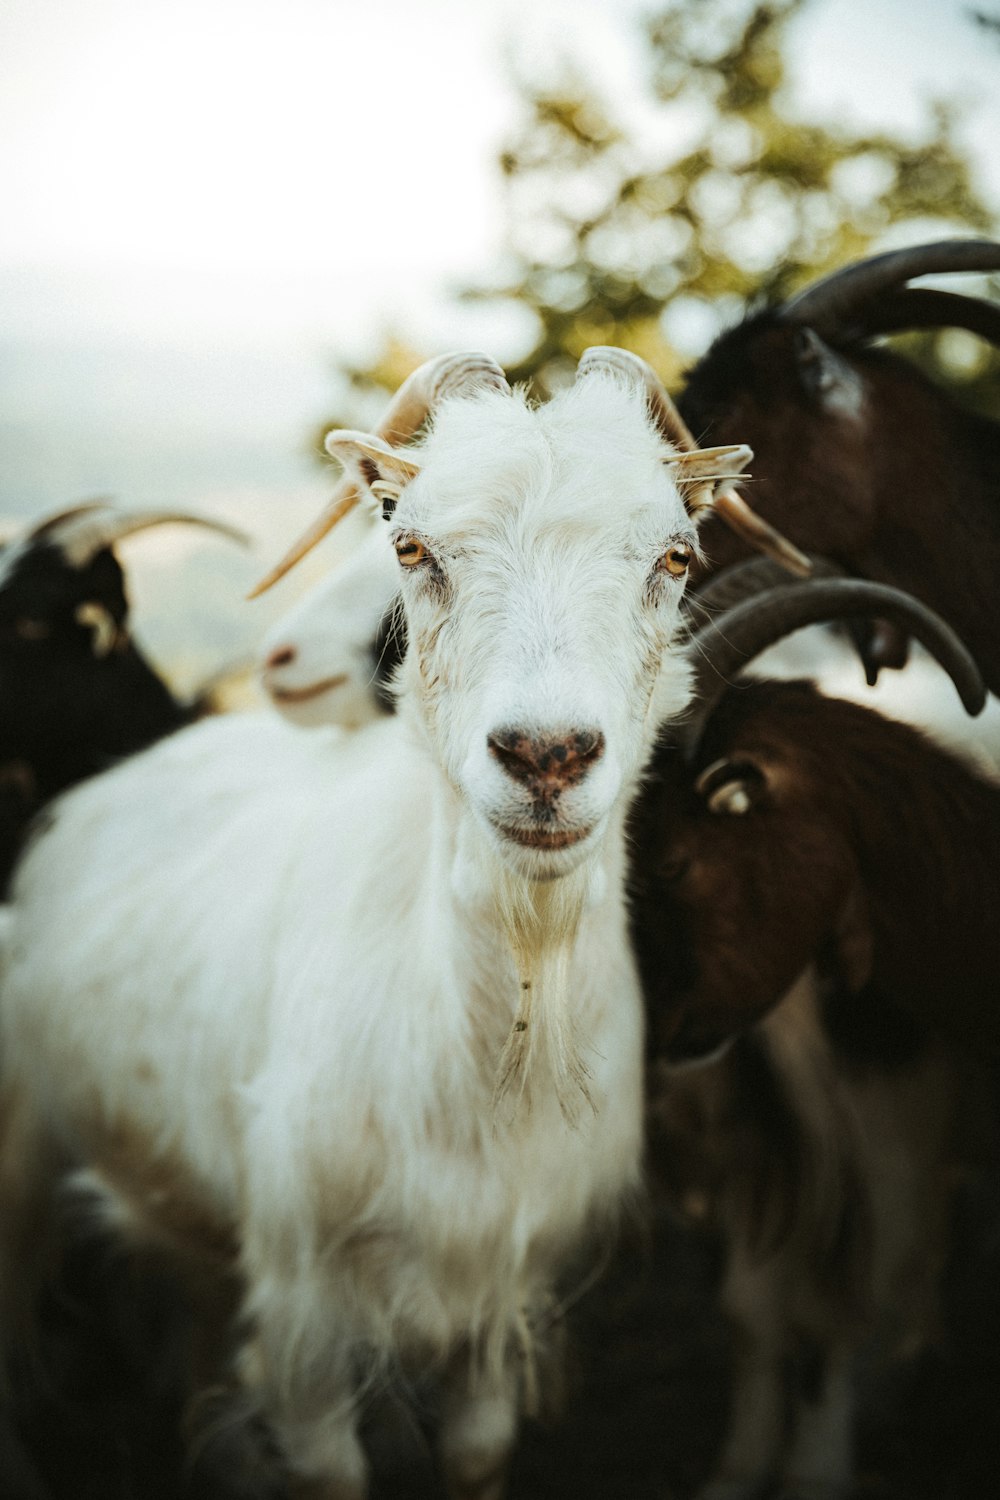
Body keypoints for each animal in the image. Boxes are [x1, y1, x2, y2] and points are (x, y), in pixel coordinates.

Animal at [0, 345, 749, 1494]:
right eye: (410, 544)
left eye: (675, 555)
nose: (546, 756)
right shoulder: (304, 1316)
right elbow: (325, 1466)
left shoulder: (497, 1300)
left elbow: (478, 1450)